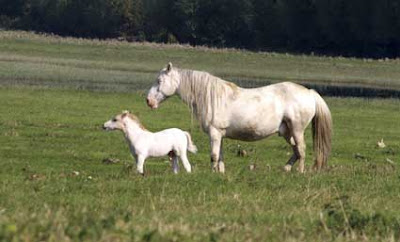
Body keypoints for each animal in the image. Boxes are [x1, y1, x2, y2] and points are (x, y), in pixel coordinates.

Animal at [146, 62, 332, 172]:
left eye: (160, 81)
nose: (148, 101)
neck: (212, 97)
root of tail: (310, 92)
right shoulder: (219, 135)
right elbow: (220, 157)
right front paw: (219, 174)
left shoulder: (214, 133)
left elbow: (214, 156)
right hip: (287, 132)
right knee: (296, 151)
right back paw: (286, 169)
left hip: (297, 130)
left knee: (301, 150)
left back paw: (299, 172)